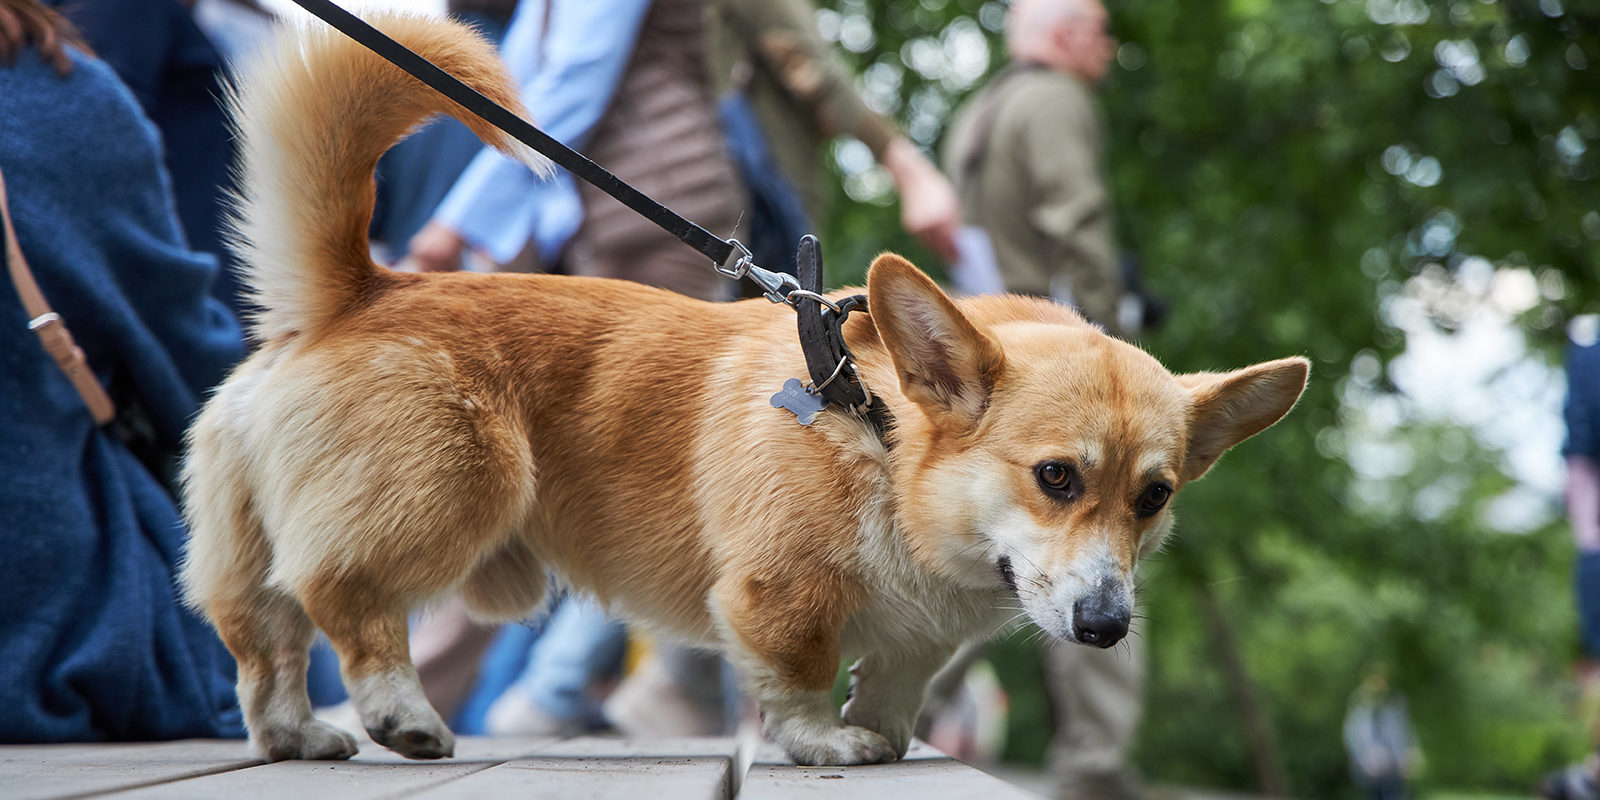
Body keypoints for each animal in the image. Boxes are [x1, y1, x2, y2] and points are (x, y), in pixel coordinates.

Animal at [181, 15, 1305, 768]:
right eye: (1057, 477)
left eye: (1153, 497)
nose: (1109, 625)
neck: (883, 439)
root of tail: (358, 289)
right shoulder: (780, 592)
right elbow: (797, 674)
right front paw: (824, 743)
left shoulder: (924, 639)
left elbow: (896, 682)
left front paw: (882, 734)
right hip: (450, 494)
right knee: (345, 599)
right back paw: (398, 714)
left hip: (264, 536)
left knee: (260, 631)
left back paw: (294, 732)